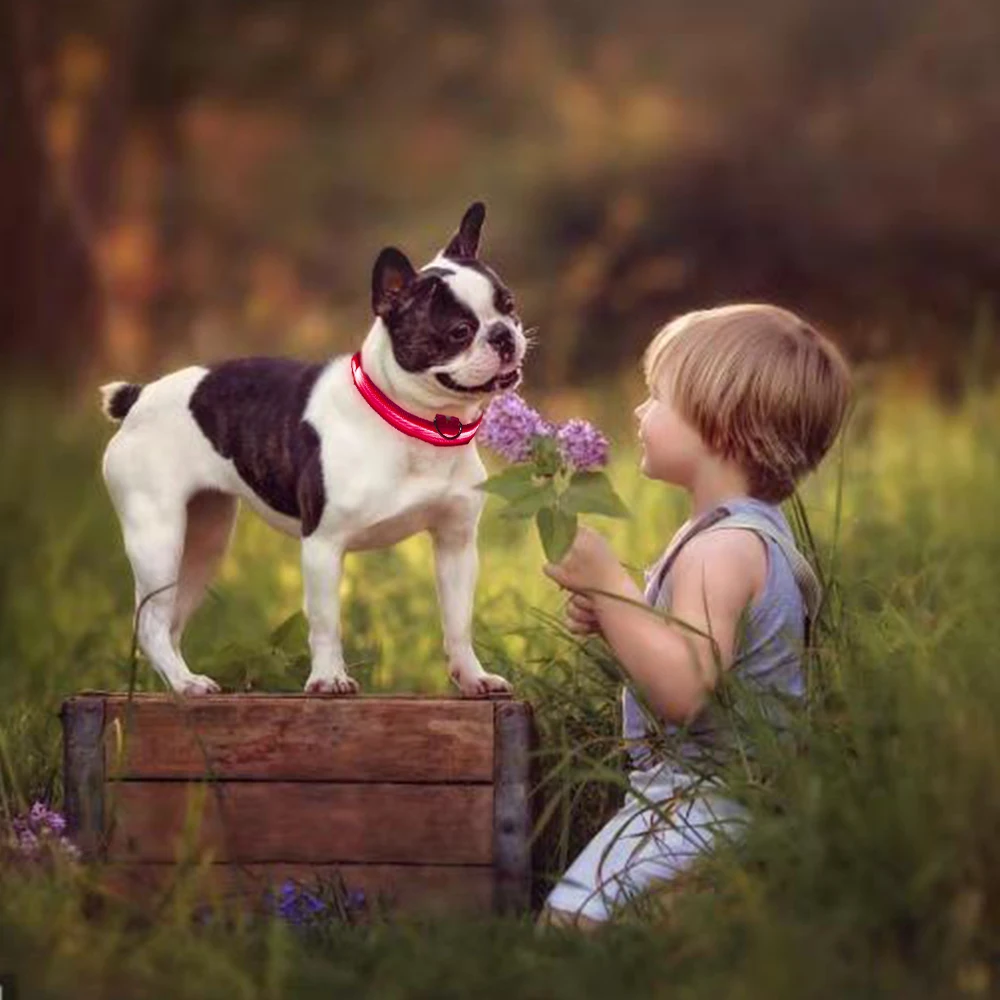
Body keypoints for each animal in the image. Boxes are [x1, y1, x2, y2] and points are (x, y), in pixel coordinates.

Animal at [101, 205, 532, 696]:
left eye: (509, 307)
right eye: (459, 331)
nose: (503, 335)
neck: (420, 426)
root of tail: (138, 397)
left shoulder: (456, 544)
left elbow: (458, 621)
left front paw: (473, 676)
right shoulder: (323, 545)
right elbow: (326, 624)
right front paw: (329, 678)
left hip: (204, 539)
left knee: (168, 621)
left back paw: (180, 679)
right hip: (158, 535)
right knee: (152, 623)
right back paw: (187, 684)